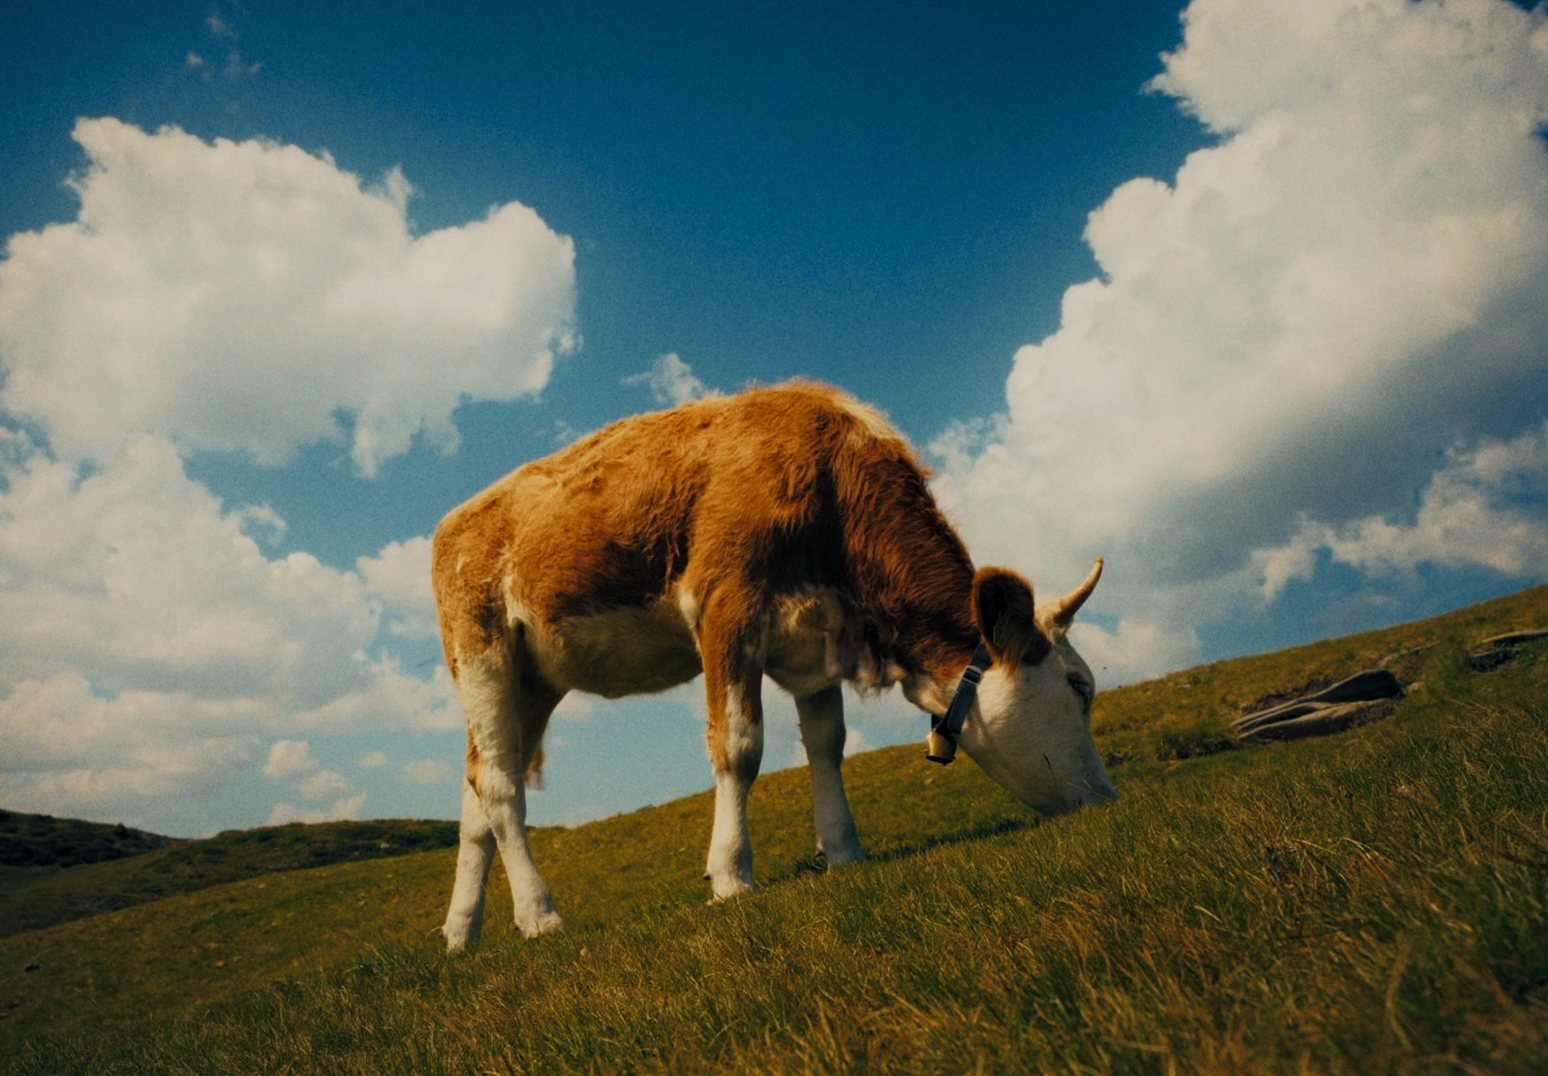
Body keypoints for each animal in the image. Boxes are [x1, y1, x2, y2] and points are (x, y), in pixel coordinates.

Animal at [431, 381, 1115, 948]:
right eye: (1079, 686)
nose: (1108, 799)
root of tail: (455, 519)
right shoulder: (725, 603)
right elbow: (739, 745)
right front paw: (732, 875)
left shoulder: (819, 633)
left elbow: (828, 743)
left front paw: (844, 850)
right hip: (482, 650)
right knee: (501, 785)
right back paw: (538, 915)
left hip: (533, 681)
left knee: (479, 791)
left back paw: (461, 933)